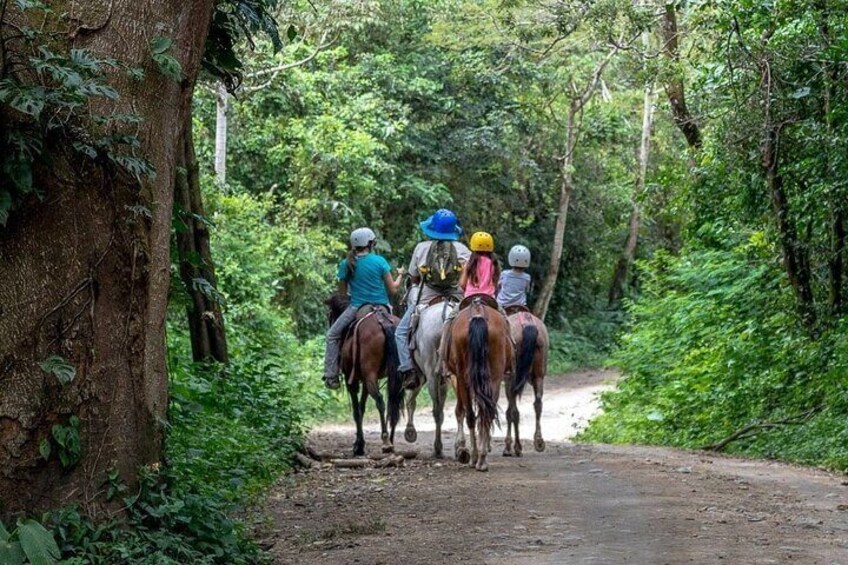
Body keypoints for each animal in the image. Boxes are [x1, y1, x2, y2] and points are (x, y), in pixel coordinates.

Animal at [326, 294, 406, 456]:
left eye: (330, 315)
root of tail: (383, 321)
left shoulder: (352, 381)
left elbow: (357, 411)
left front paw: (359, 446)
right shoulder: (364, 381)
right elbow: (362, 408)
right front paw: (359, 443)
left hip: (370, 377)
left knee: (380, 402)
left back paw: (386, 441)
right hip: (395, 375)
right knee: (394, 401)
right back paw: (392, 441)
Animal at [440, 296, 512, 472]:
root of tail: (478, 314)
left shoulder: (457, 378)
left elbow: (463, 411)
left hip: (465, 378)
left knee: (473, 415)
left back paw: (475, 457)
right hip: (493, 378)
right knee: (485, 413)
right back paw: (481, 458)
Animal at [504, 306, 548, 456]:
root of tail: (527, 323)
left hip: (511, 379)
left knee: (513, 412)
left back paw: (514, 447)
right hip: (538, 375)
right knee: (538, 403)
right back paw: (539, 441)